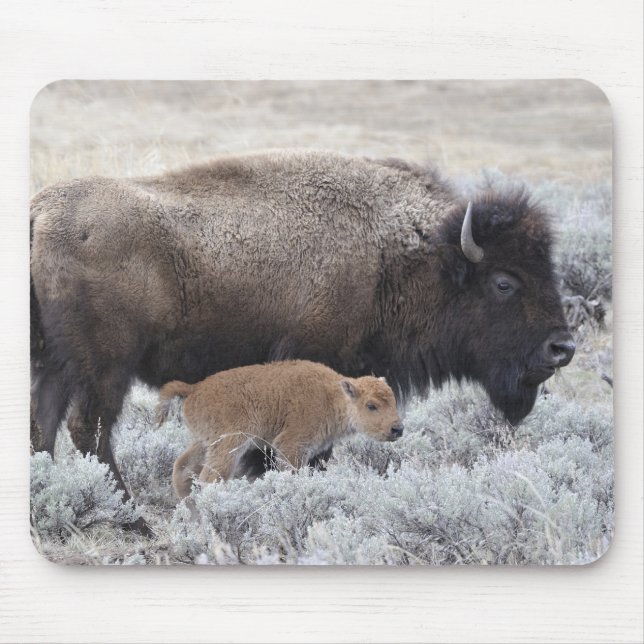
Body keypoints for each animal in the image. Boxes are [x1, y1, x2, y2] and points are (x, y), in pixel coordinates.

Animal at [155, 360, 403, 499]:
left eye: (393, 400)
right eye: (371, 405)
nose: (397, 429)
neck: (333, 397)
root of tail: (195, 388)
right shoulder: (291, 445)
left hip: (204, 442)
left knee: (182, 468)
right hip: (229, 444)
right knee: (209, 478)